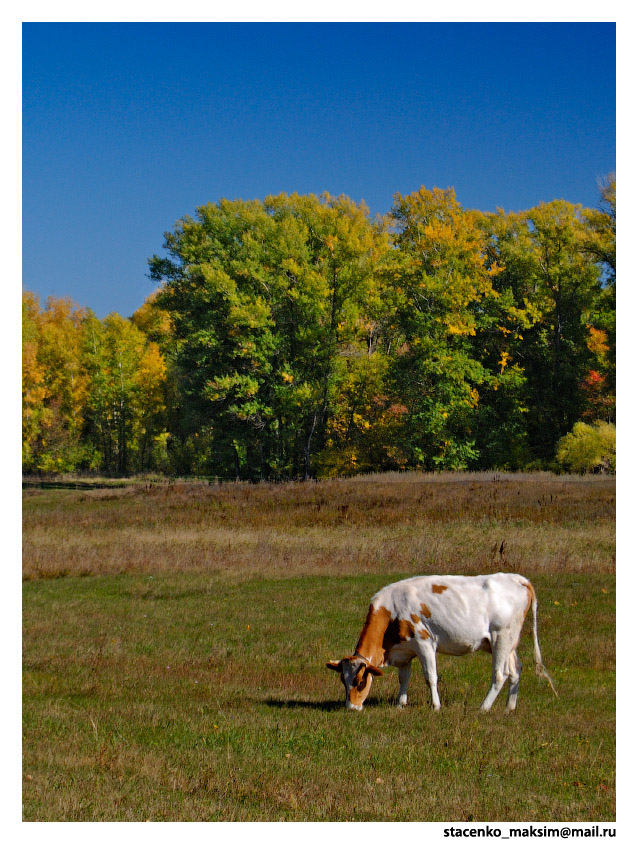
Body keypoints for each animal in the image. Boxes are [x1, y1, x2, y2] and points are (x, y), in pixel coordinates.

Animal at [328, 572, 556, 708]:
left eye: (359, 681)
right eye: (343, 681)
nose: (352, 707)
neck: (390, 609)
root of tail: (517, 578)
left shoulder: (424, 643)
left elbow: (430, 677)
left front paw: (436, 706)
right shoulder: (405, 650)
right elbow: (404, 678)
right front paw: (401, 704)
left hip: (502, 638)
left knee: (500, 675)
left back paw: (484, 708)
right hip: (507, 644)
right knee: (516, 670)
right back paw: (510, 707)